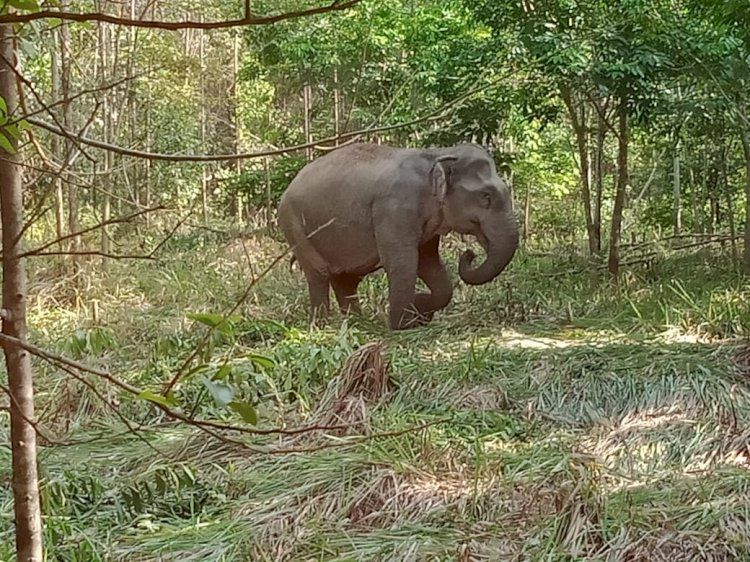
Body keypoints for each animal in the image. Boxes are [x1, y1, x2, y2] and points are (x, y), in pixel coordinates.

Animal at [280, 141, 520, 328]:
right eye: (485, 196)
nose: (470, 254)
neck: (437, 154)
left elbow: (428, 263)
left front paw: (420, 310)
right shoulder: (394, 208)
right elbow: (403, 261)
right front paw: (403, 325)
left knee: (346, 279)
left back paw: (357, 324)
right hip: (294, 226)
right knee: (318, 273)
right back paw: (322, 326)